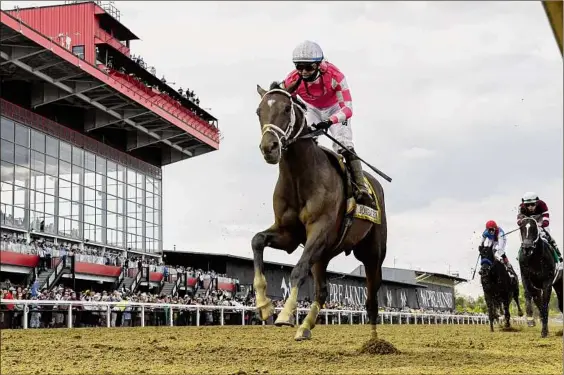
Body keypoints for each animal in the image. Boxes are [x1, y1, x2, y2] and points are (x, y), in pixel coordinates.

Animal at [252, 83, 388, 342]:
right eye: (258, 111)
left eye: (286, 108)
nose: (268, 148)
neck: (299, 177)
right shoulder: (289, 234)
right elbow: (257, 240)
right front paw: (264, 305)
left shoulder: (320, 230)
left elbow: (298, 269)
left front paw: (285, 314)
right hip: (324, 254)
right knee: (322, 291)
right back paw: (305, 326)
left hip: (372, 253)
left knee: (372, 298)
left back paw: (375, 341)